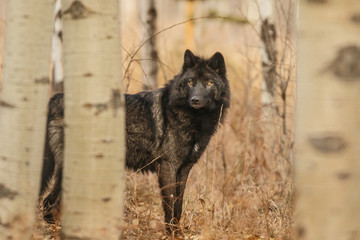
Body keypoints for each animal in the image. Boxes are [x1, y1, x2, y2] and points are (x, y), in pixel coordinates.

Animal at [40, 49, 231, 233]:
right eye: (191, 82)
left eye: (208, 83)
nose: (195, 100)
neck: (194, 119)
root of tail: (54, 98)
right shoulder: (168, 166)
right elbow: (170, 205)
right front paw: (171, 233)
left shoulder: (184, 169)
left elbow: (178, 206)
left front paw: (178, 233)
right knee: (48, 202)